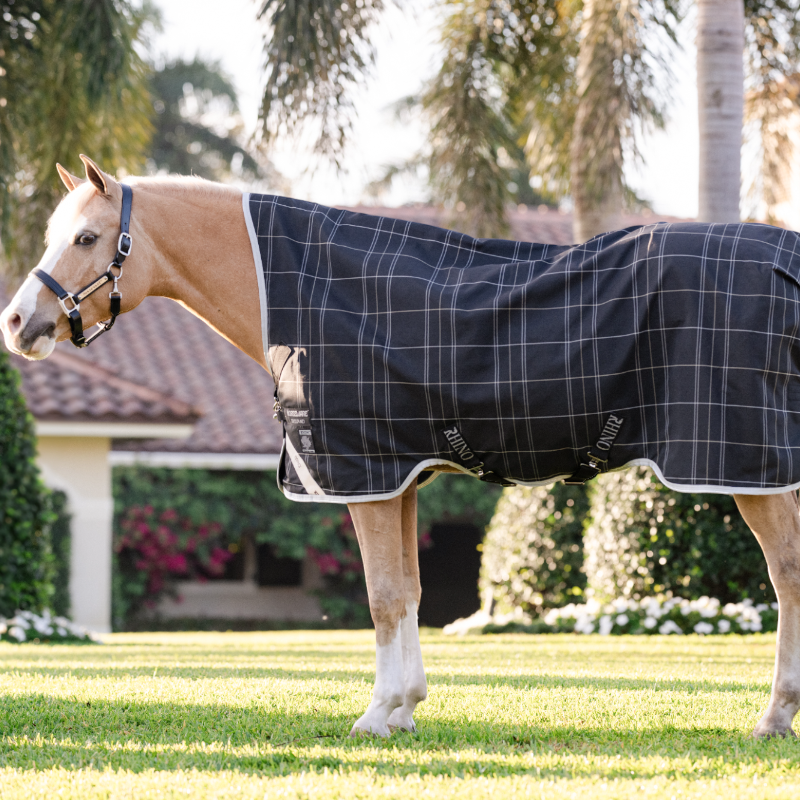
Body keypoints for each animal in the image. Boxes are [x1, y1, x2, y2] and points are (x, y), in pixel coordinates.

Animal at [2, 155, 800, 740]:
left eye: (85, 239)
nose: (17, 322)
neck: (298, 287)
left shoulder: (365, 475)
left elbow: (383, 597)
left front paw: (377, 714)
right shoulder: (402, 477)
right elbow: (408, 591)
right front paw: (407, 706)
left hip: (751, 465)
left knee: (786, 575)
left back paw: (773, 717)